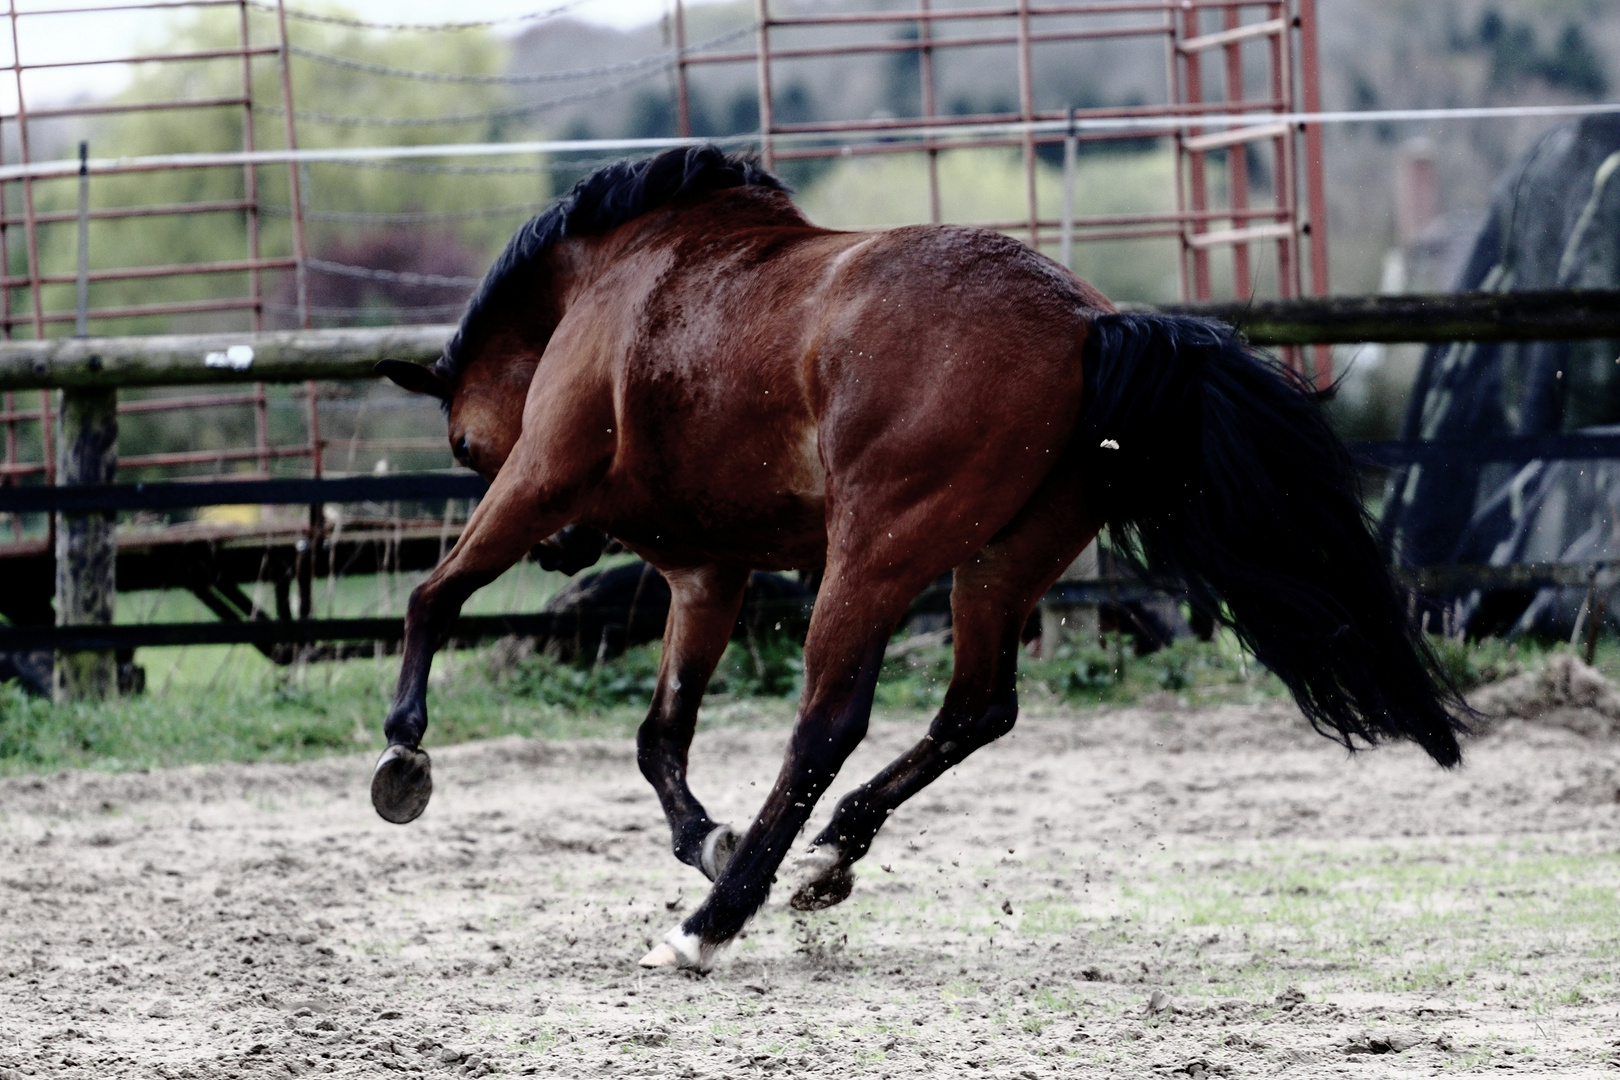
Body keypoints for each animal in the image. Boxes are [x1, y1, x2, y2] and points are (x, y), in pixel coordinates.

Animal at [372, 143, 1464, 971]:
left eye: (465, 446)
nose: (566, 556)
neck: (621, 274)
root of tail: (1088, 323)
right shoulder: (705, 573)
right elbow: (659, 737)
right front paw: (703, 838)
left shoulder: (539, 478)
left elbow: (433, 596)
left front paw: (403, 754)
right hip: (996, 564)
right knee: (977, 707)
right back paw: (822, 859)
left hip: (875, 554)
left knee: (828, 723)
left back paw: (712, 925)